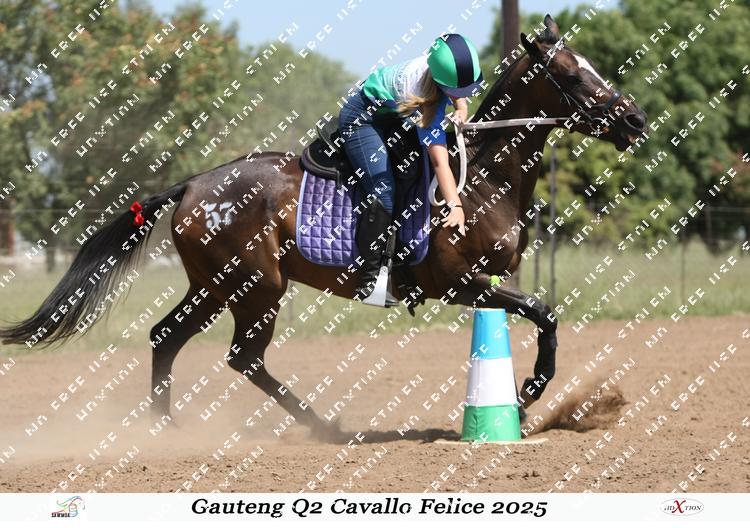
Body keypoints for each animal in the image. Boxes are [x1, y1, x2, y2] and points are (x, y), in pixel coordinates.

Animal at [0, 16, 646, 440]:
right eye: (572, 74)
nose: (636, 119)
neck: (483, 178)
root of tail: (191, 186)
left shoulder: (494, 280)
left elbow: (539, 317)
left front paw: (530, 402)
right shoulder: (458, 285)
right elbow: (546, 314)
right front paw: (527, 396)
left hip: (215, 285)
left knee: (166, 337)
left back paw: (167, 429)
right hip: (257, 286)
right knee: (242, 357)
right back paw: (320, 426)